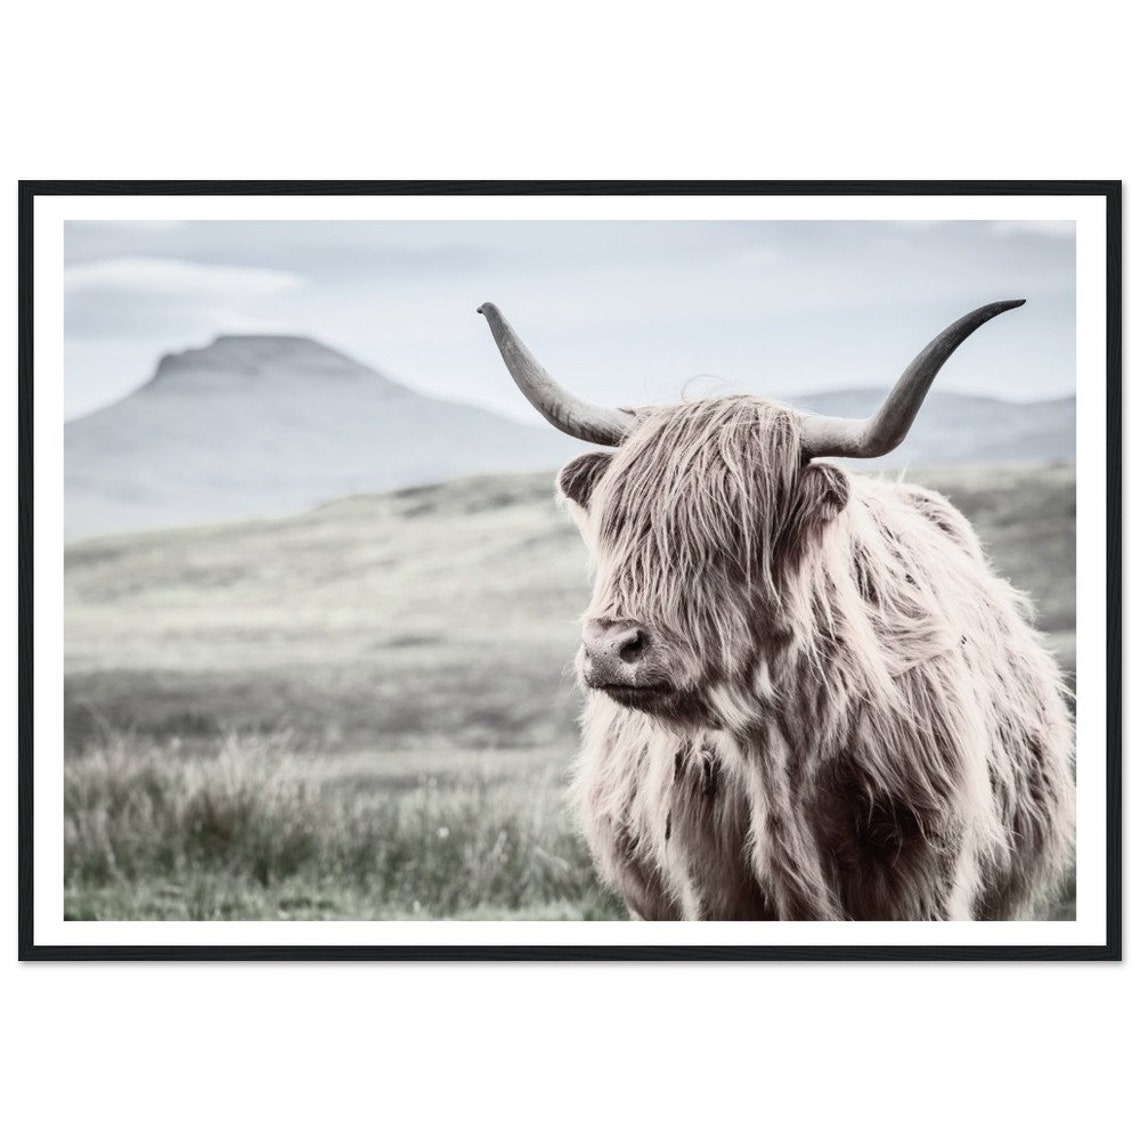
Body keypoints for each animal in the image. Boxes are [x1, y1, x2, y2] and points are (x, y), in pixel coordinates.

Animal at [478, 300, 1075, 921]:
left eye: (735, 531)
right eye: (615, 525)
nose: (610, 649)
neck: (777, 746)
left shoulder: (924, 873)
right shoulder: (708, 882)